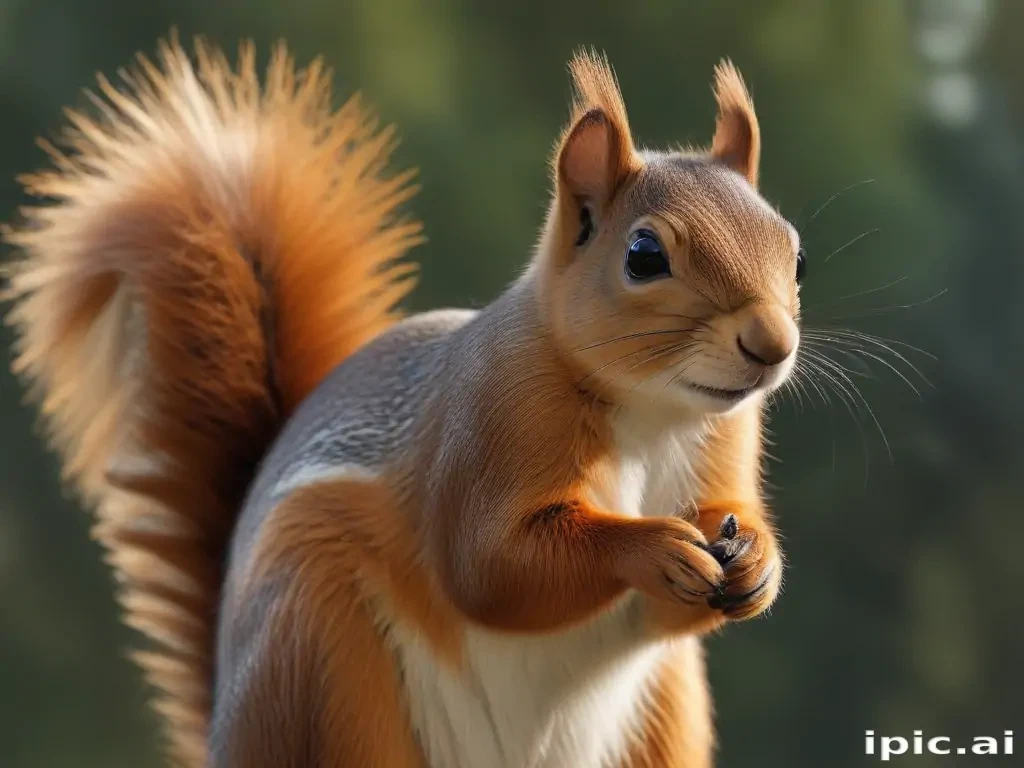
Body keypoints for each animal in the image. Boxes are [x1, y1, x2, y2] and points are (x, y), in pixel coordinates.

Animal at [5, 37, 803, 768]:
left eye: (792, 250)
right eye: (643, 256)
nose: (772, 344)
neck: (650, 411)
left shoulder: (720, 448)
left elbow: (697, 560)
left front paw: (756, 562)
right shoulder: (488, 422)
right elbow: (491, 566)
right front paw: (654, 547)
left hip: (662, 718)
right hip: (323, 671)